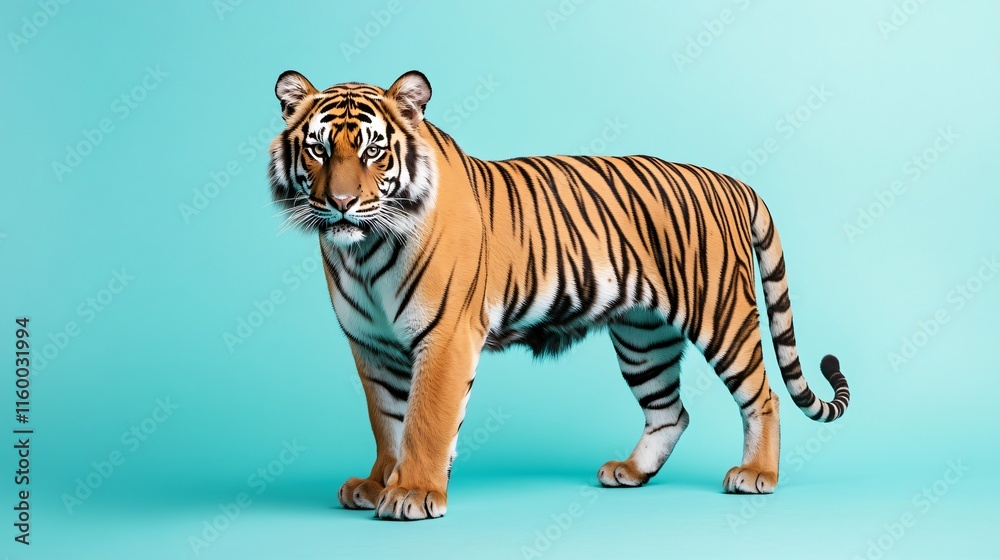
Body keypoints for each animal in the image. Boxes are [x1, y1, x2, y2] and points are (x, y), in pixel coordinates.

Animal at [267, 70, 850, 521]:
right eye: (318, 149)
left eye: (374, 151)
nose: (341, 203)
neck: (363, 252)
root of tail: (731, 182)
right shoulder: (372, 346)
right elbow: (387, 420)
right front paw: (378, 483)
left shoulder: (446, 337)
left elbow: (425, 420)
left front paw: (411, 491)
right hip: (643, 337)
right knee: (670, 410)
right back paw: (631, 471)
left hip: (722, 316)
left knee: (764, 395)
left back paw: (755, 474)